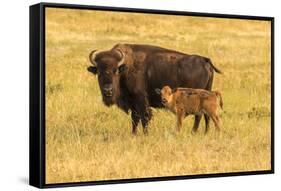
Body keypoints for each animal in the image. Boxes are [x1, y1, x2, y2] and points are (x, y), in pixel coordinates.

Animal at [87, 44, 221, 135]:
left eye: (115, 71)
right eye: (99, 72)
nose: (107, 90)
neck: (125, 68)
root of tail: (204, 60)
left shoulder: (140, 100)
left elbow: (144, 117)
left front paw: (145, 134)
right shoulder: (133, 103)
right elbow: (135, 119)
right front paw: (133, 134)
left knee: (200, 116)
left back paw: (194, 132)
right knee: (206, 116)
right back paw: (204, 133)